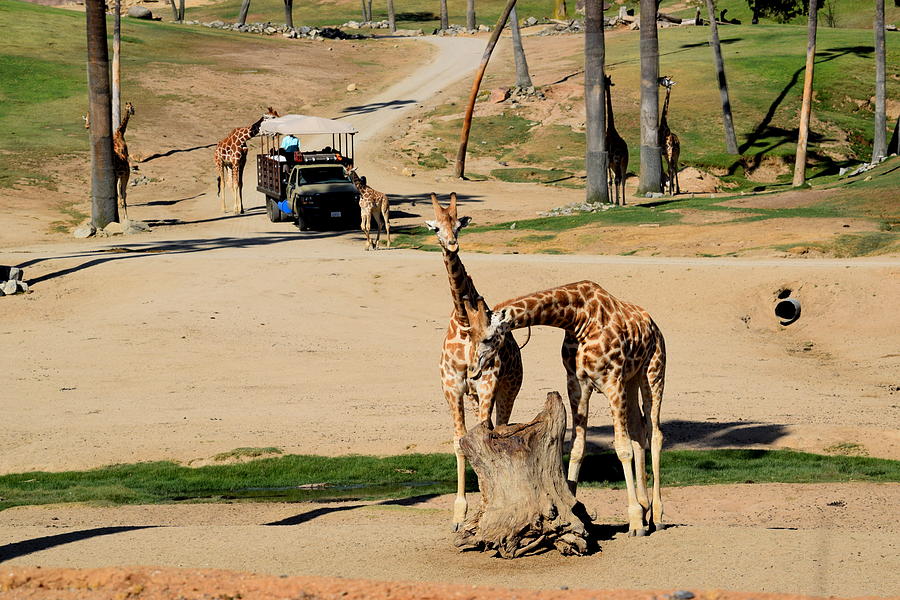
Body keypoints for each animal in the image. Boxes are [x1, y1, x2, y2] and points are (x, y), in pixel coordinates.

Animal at [426, 192, 524, 528]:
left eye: (458, 224)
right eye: (436, 228)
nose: (452, 244)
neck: (463, 321)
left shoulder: (487, 384)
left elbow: (487, 440)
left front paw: (486, 507)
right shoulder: (453, 389)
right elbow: (461, 443)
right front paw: (459, 514)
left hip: (508, 388)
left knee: (500, 427)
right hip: (473, 396)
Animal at [464, 282, 668, 540]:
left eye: (489, 338)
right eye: (469, 336)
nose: (473, 372)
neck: (578, 319)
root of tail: (654, 325)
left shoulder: (612, 381)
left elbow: (622, 449)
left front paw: (635, 522)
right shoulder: (577, 384)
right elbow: (577, 449)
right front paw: (574, 513)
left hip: (653, 371)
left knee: (655, 433)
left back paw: (656, 517)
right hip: (631, 380)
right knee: (639, 431)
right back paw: (645, 507)